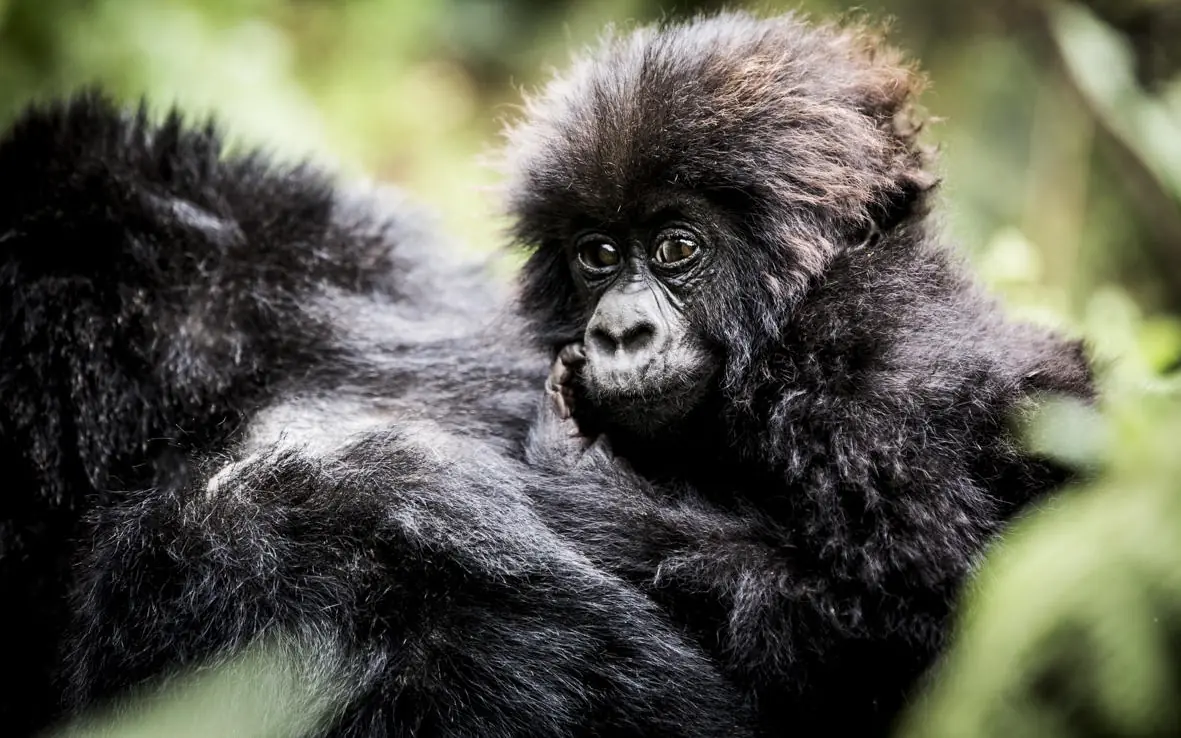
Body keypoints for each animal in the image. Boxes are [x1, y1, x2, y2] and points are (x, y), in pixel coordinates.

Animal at [503, 10, 1096, 736]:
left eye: (676, 247)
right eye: (598, 255)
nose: (619, 333)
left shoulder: (875, 399)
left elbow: (900, 629)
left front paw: (581, 479)